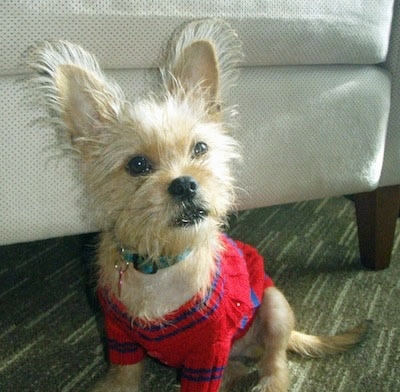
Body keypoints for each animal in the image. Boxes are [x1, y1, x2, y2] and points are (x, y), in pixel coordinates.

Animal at [32, 19, 368, 392]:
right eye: (137, 164)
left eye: (200, 149)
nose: (185, 184)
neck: (161, 264)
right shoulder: (121, 339)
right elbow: (123, 377)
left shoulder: (208, 352)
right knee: (239, 367)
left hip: (275, 305)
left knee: (276, 361)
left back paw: (269, 381)